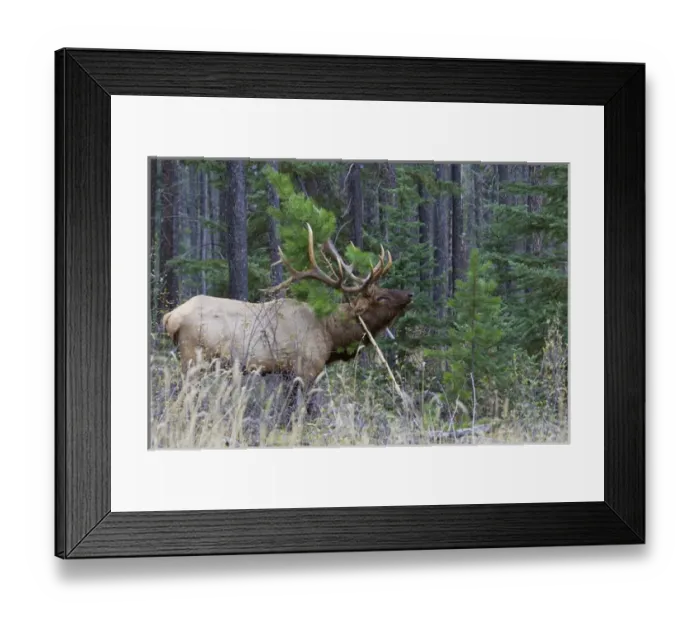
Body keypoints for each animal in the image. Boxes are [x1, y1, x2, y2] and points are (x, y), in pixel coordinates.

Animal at [161, 224, 413, 396]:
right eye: (381, 297)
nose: (409, 294)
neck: (331, 334)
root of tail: (170, 317)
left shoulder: (285, 374)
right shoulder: (306, 369)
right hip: (192, 358)